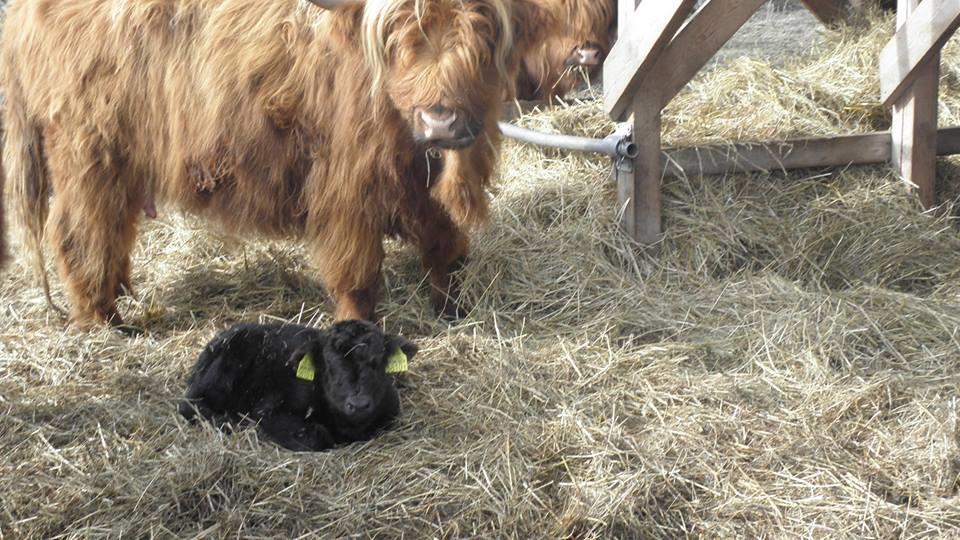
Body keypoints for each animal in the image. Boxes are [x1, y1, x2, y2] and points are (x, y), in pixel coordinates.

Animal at [0, 0, 560, 330]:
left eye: (483, 28)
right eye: (398, 33)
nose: (440, 119)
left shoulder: (421, 182)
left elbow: (445, 243)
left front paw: (451, 308)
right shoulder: (347, 186)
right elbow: (358, 270)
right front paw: (355, 328)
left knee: (110, 232)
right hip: (88, 156)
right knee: (81, 234)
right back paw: (103, 319)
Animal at [180, 320, 416, 452]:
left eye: (377, 363)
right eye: (329, 364)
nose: (358, 404)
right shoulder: (267, 410)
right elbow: (316, 436)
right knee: (188, 404)